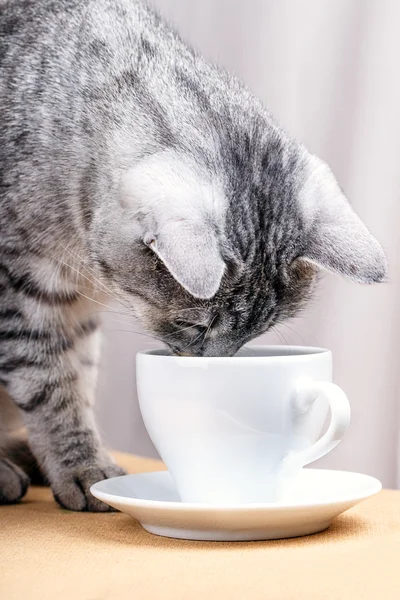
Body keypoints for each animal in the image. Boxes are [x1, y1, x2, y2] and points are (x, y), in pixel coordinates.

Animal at [0, 0, 388, 510]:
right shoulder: (21, 290)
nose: (214, 366)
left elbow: (77, 381)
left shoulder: (75, 311)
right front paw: (81, 468)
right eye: (193, 325)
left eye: (256, 334)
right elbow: (50, 384)